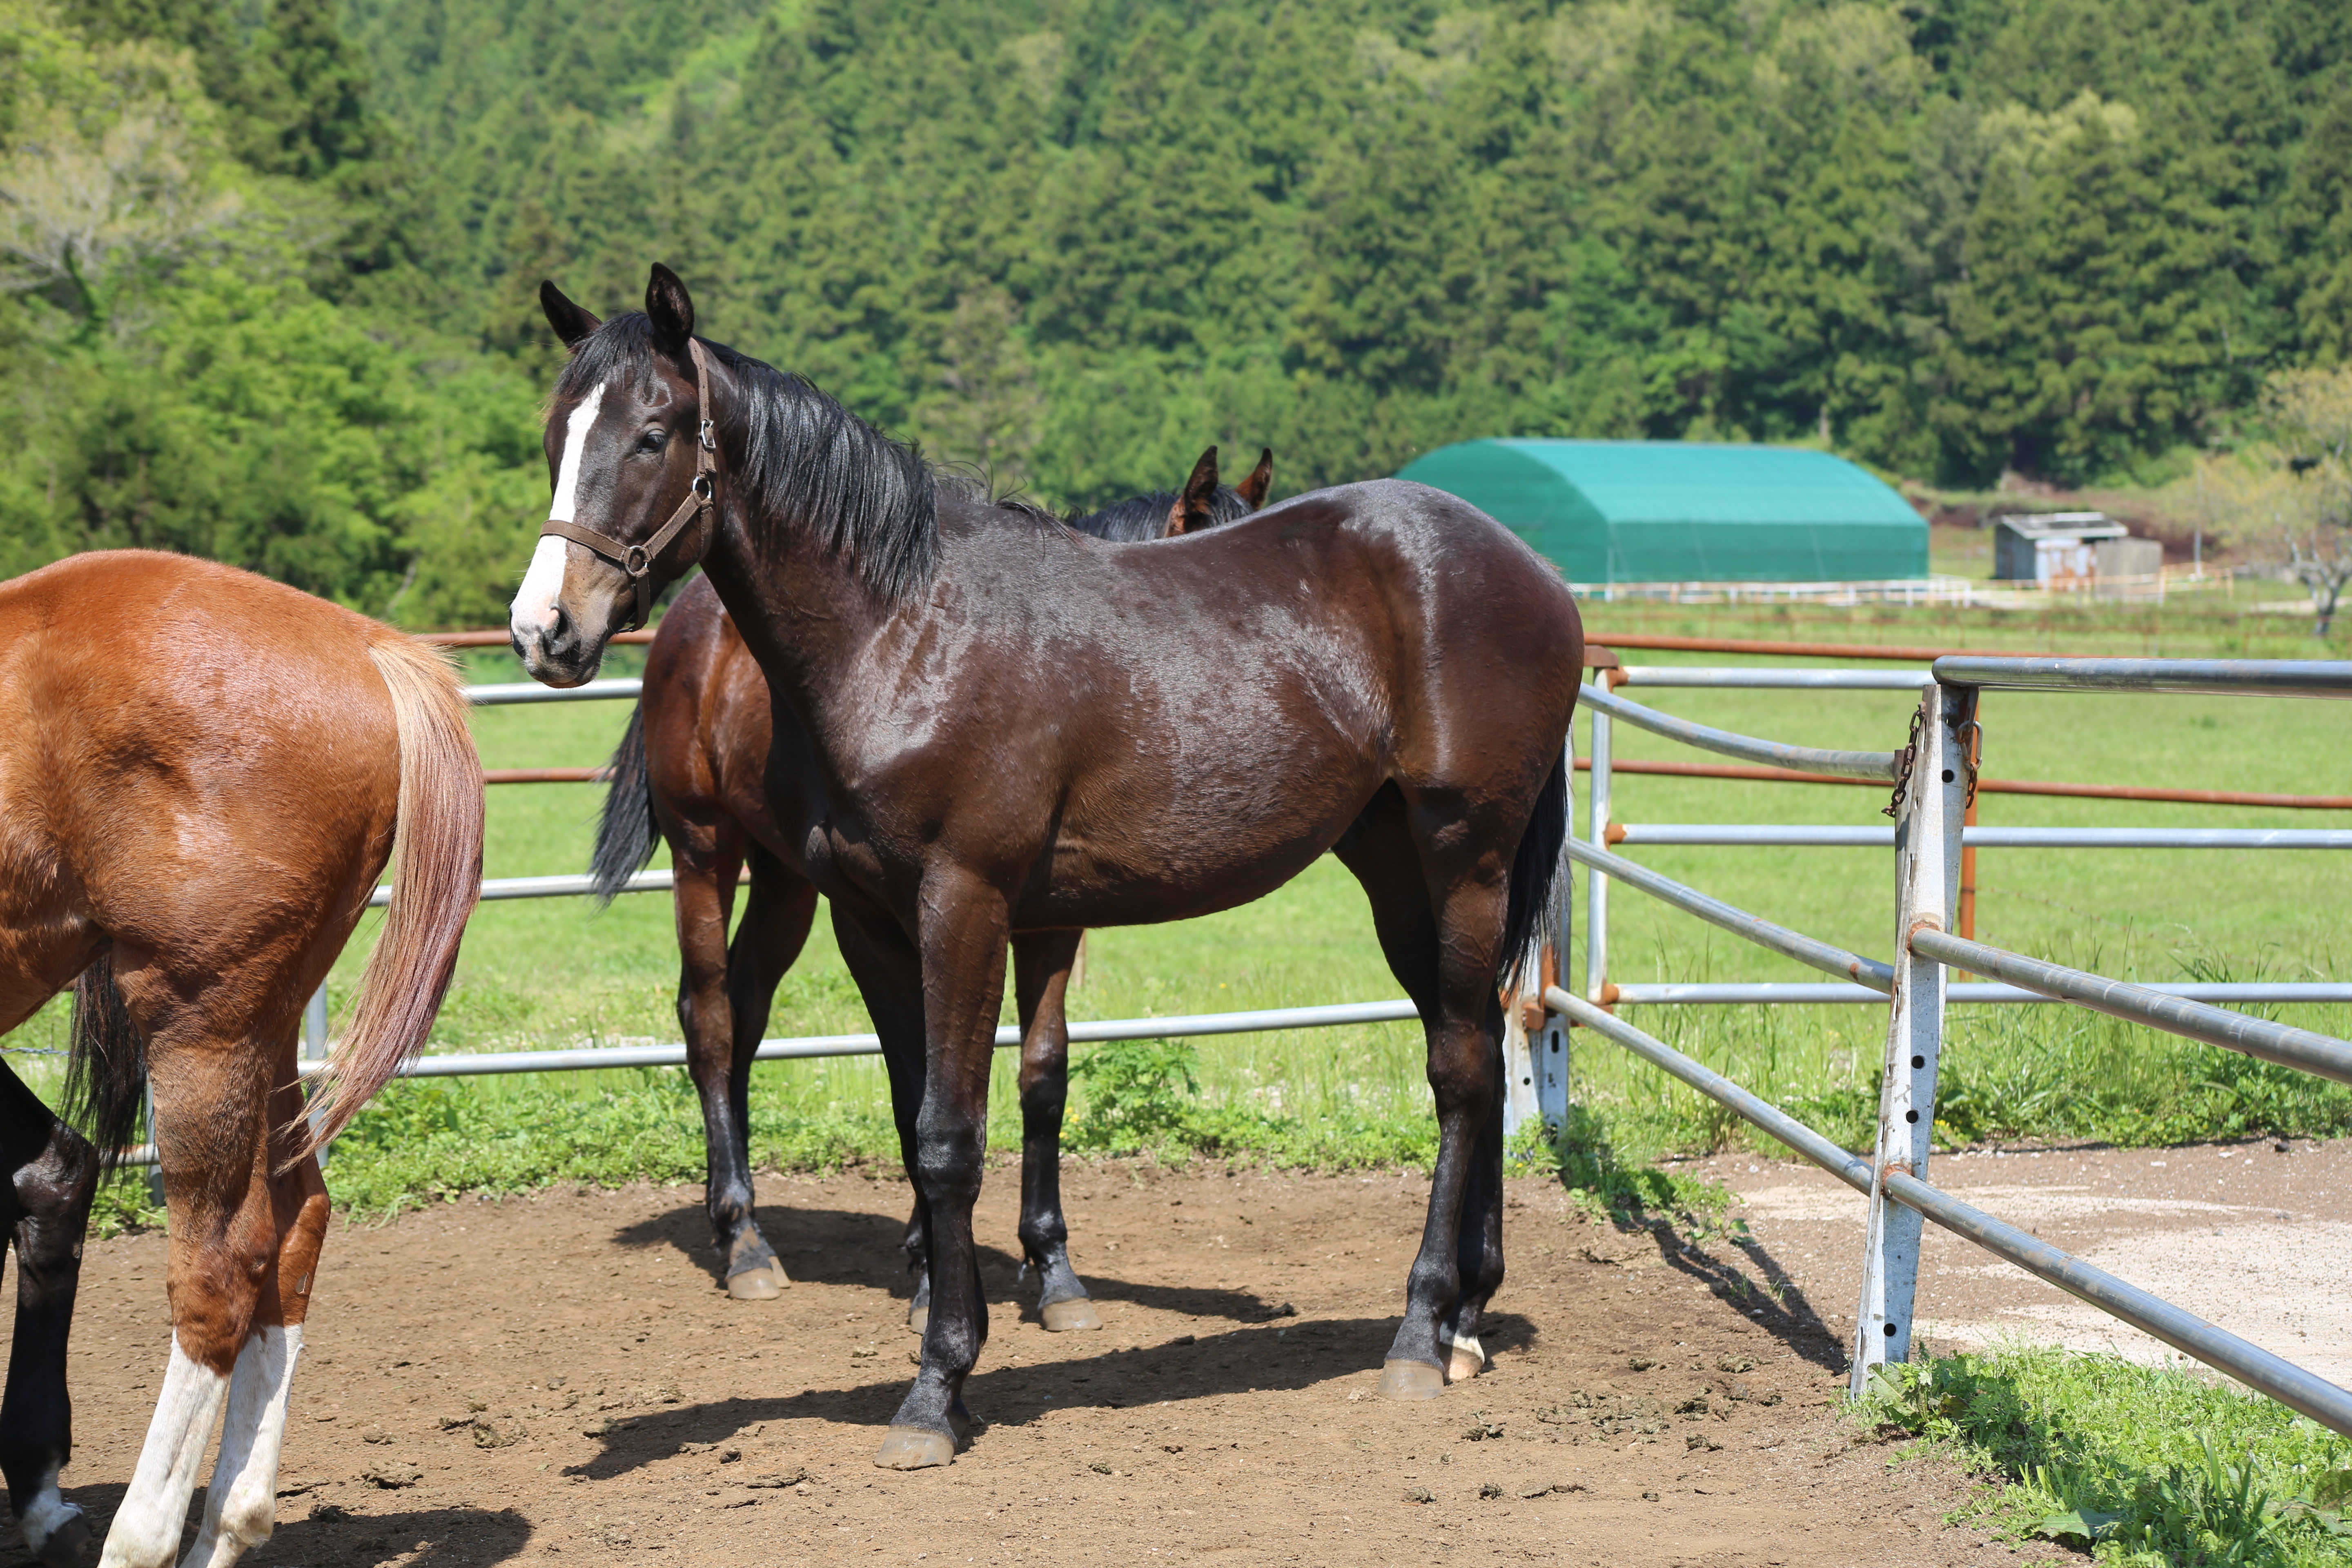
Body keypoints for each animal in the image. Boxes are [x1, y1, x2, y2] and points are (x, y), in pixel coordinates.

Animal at [0, 555, 480, 1568]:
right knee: (296, 1225)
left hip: (202, 1024)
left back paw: (142, 1536)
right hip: (266, 1025)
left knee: (219, 1271)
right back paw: (230, 1519)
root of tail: (367, 646)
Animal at [597, 454, 1279, 1326]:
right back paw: (743, 1240)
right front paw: (931, 1272)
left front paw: (1051, 1267)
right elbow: (921, 1084)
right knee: (710, 1018)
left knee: (747, 1008)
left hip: (785, 881)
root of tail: (692, 619)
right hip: (704, 850)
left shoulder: (1049, 925)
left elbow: (1043, 1076)